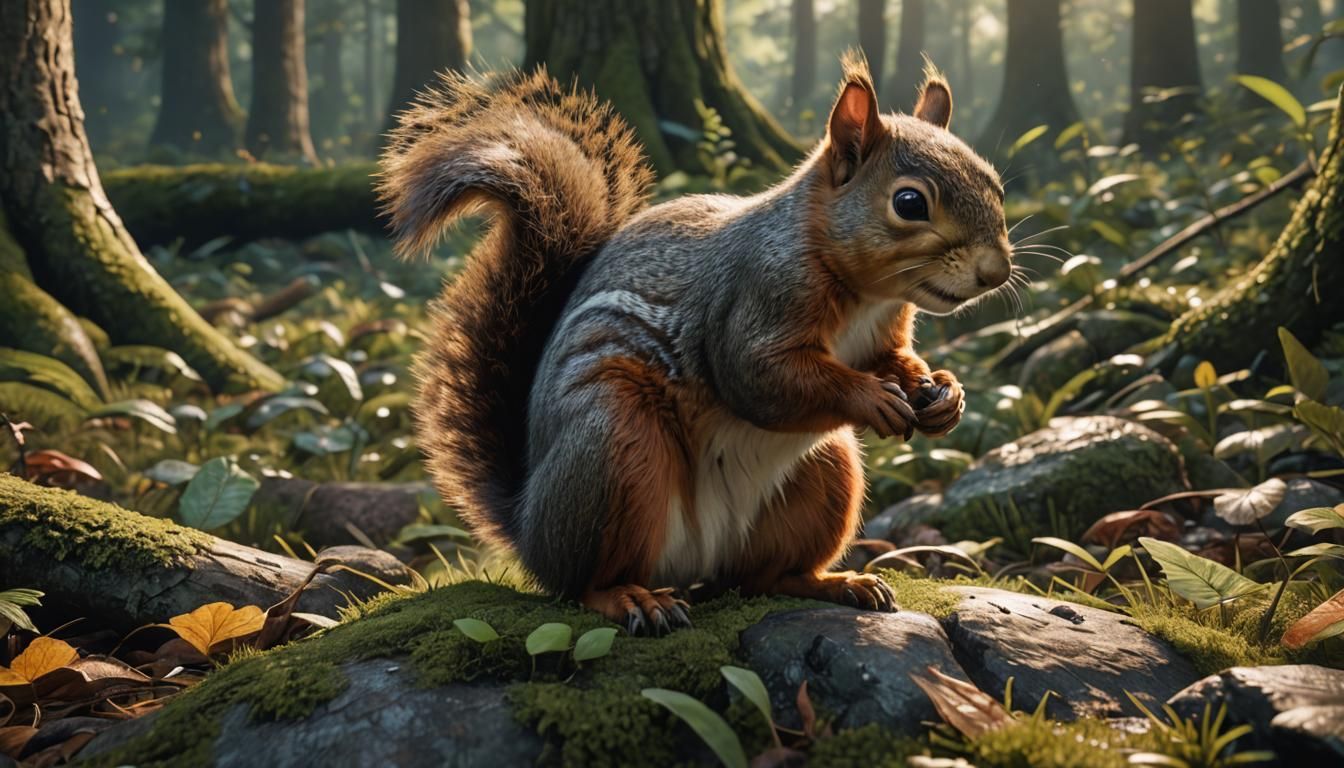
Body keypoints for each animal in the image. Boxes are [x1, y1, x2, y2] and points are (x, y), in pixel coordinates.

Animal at [377, 54, 1011, 635]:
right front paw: (873, 398)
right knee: (582, 583)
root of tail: (529, 524)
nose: (997, 272)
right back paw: (632, 599)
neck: (868, 295)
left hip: (824, 476)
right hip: (613, 447)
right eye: (909, 203)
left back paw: (835, 583)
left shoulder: (883, 335)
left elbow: (893, 361)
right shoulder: (755, 300)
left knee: (761, 577)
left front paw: (944, 393)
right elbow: (762, 378)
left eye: (996, 185)